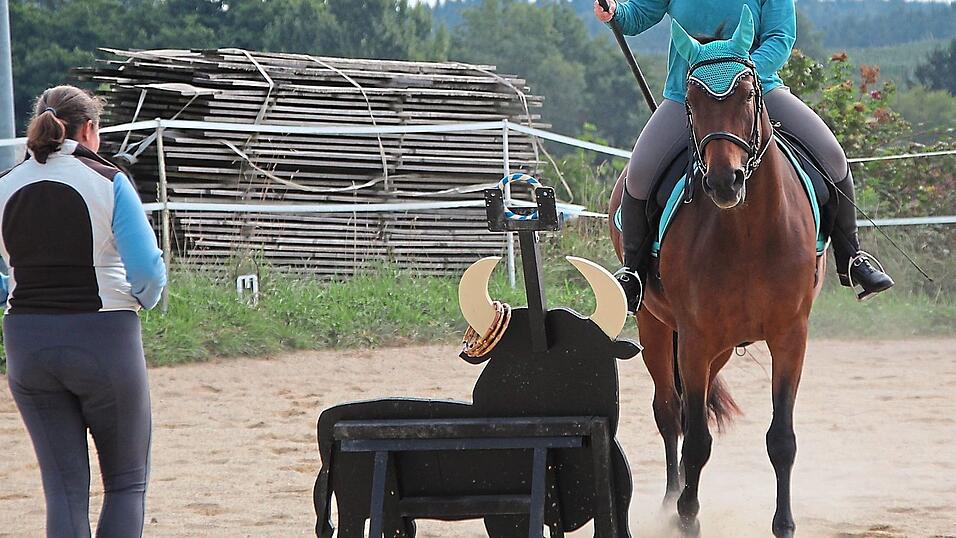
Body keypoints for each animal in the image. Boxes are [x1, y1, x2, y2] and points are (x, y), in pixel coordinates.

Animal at [608, 8, 826, 537]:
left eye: (747, 93)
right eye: (692, 100)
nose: (725, 181)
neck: (747, 232)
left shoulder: (790, 336)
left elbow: (781, 439)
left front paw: (784, 524)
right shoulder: (695, 338)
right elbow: (696, 439)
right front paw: (688, 515)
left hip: (723, 348)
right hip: (658, 327)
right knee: (670, 413)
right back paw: (672, 500)